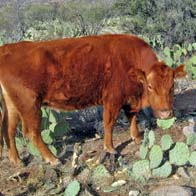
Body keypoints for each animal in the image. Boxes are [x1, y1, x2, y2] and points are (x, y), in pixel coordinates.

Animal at [0, 34, 185, 165]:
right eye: (150, 86)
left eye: (172, 85)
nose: (165, 113)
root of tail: (7, 48)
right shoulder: (112, 99)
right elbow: (109, 123)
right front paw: (110, 148)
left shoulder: (129, 100)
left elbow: (132, 118)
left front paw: (137, 137)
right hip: (30, 104)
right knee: (32, 132)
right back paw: (53, 159)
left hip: (13, 105)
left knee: (8, 129)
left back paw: (17, 160)